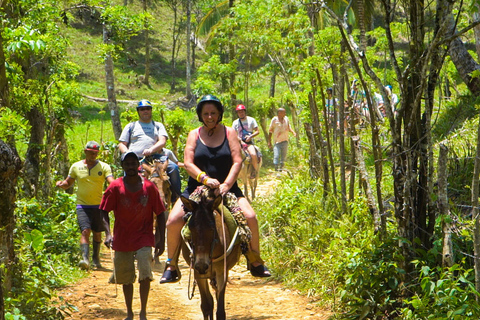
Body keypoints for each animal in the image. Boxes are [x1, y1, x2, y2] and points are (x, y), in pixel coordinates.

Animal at [180, 188, 240, 320]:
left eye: (212, 228)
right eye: (190, 228)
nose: (202, 265)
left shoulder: (222, 271)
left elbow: (220, 311)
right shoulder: (197, 272)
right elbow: (206, 305)